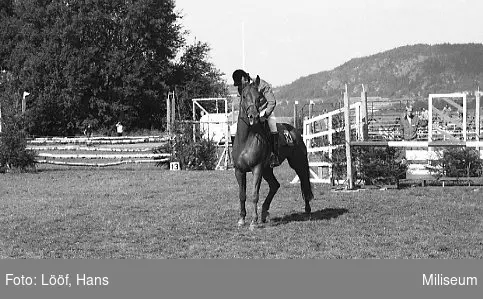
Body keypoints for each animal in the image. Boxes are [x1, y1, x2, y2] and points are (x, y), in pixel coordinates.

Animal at [233, 75, 316, 230]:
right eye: (244, 96)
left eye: (259, 97)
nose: (253, 116)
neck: (245, 139)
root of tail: (294, 131)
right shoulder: (239, 171)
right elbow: (242, 195)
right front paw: (241, 219)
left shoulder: (257, 169)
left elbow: (254, 194)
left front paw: (253, 221)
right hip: (267, 170)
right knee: (275, 185)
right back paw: (264, 213)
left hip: (298, 163)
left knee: (304, 182)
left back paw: (307, 211)